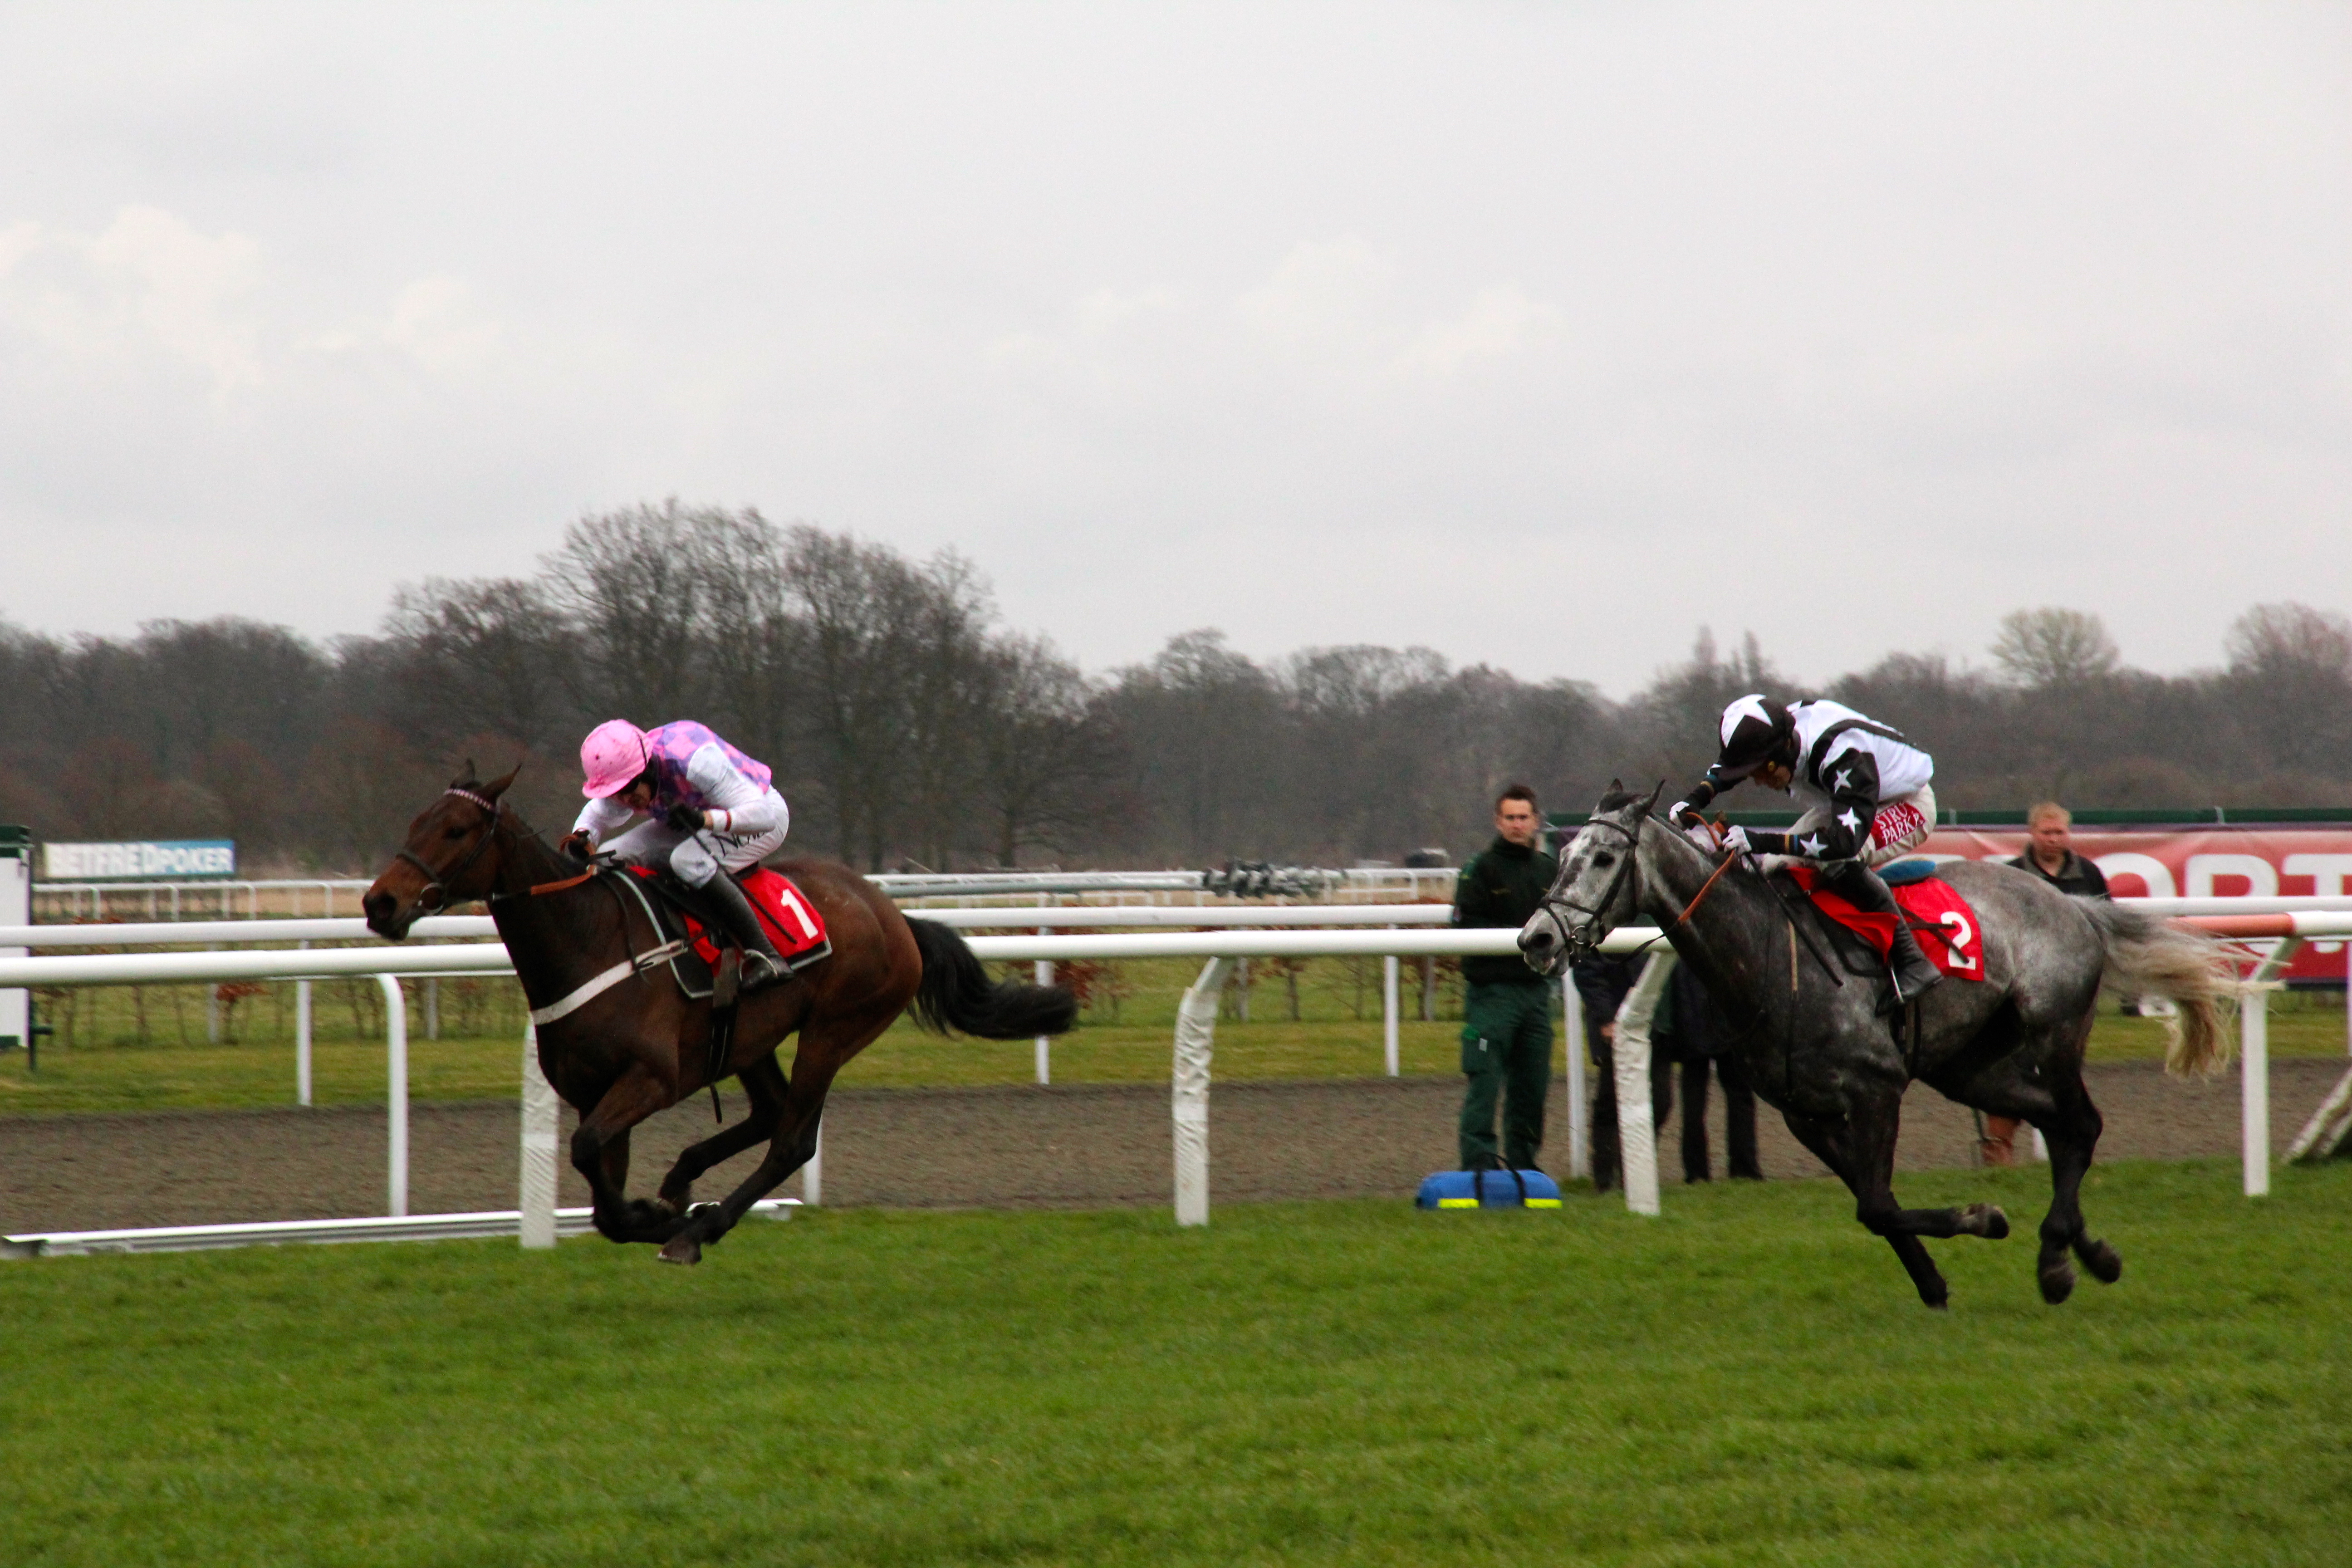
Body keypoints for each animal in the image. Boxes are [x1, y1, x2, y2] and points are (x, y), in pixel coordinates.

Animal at [362, 766, 1077, 1269]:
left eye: (456, 830)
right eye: (416, 821)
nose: (379, 903)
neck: (586, 939)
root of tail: (894, 916)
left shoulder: (649, 1079)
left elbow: (592, 1157)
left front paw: (668, 1223)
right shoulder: (596, 1092)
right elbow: (602, 1197)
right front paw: (654, 1210)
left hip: (835, 1029)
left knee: (792, 1139)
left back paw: (701, 1225)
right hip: (749, 1038)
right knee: (769, 1112)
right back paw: (684, 1181)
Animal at [1514, 785, 2230, 1316]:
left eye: (1604, 858)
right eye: (1564, 854)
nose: (1536, 939)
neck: (1772, 956)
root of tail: (2076, 905)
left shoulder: (1876, 1088)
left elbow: (1879, 1202)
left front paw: (1983, 1219)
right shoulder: (1804, 1112)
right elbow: (1872, 1207)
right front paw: (1936, 1281)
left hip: (2052, 1034)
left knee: (2080, 1123)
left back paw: (2056, 1260)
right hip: (1968, 1068)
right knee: (2064, 1125)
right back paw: (2091, 1254)